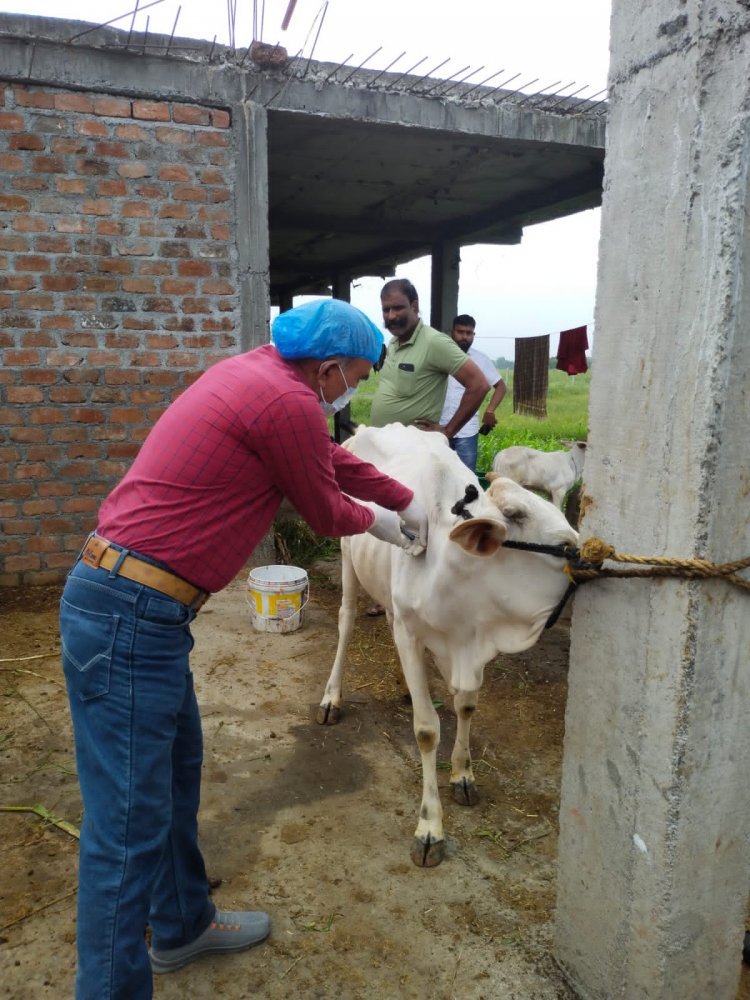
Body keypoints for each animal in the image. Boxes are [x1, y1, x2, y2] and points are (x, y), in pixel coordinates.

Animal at [314, 422, 580, 868]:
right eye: (517, 515)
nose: (581, 548)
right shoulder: (415, 632)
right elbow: (426, 730)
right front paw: (429, 829)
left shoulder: (468, 645)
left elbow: (466, 705)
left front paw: (463, 775)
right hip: (349, 555)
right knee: (346, 620)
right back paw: (332, 697)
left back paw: (407, 687)